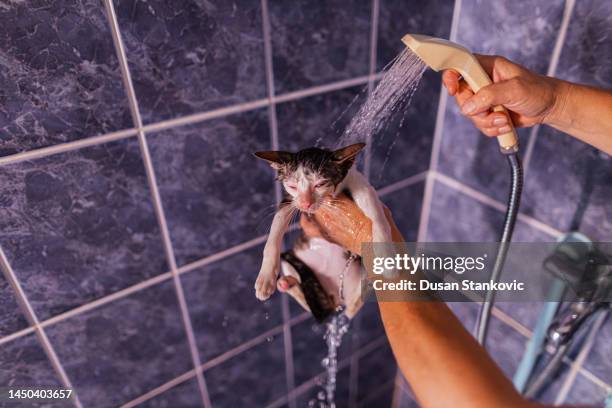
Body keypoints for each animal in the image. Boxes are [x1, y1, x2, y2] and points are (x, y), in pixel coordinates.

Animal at [253, 143, 392, 300]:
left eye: (320, 184)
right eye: (292, 186)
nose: (306, 204)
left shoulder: (358, 182)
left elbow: (373, 207)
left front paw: (386, 255)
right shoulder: (290, 200)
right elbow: (276, 226)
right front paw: (266, 277)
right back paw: (287, 282)